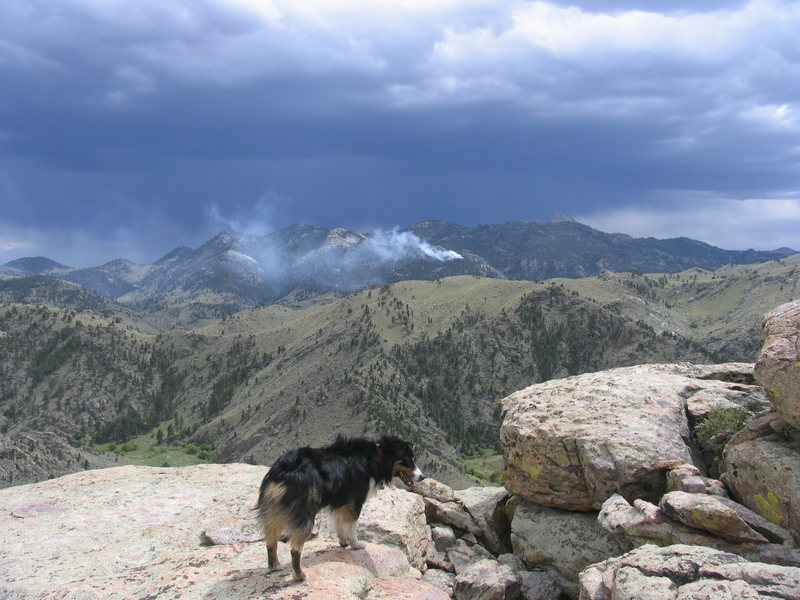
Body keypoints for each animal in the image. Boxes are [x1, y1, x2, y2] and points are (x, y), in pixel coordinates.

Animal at [256, 436, 424, 580]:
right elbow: (352, 526)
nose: (422, 477)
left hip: (272, 508)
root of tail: (283, 471)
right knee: (295, 549)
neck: (376, 457)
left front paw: (343, 542)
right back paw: (300, 576)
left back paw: (275, 566)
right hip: (304, 510)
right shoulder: (355, 500)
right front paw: (356, 545)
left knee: (271, 540)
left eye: (414, 460)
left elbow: (339, 523)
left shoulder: (341, 500)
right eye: (409, 461)